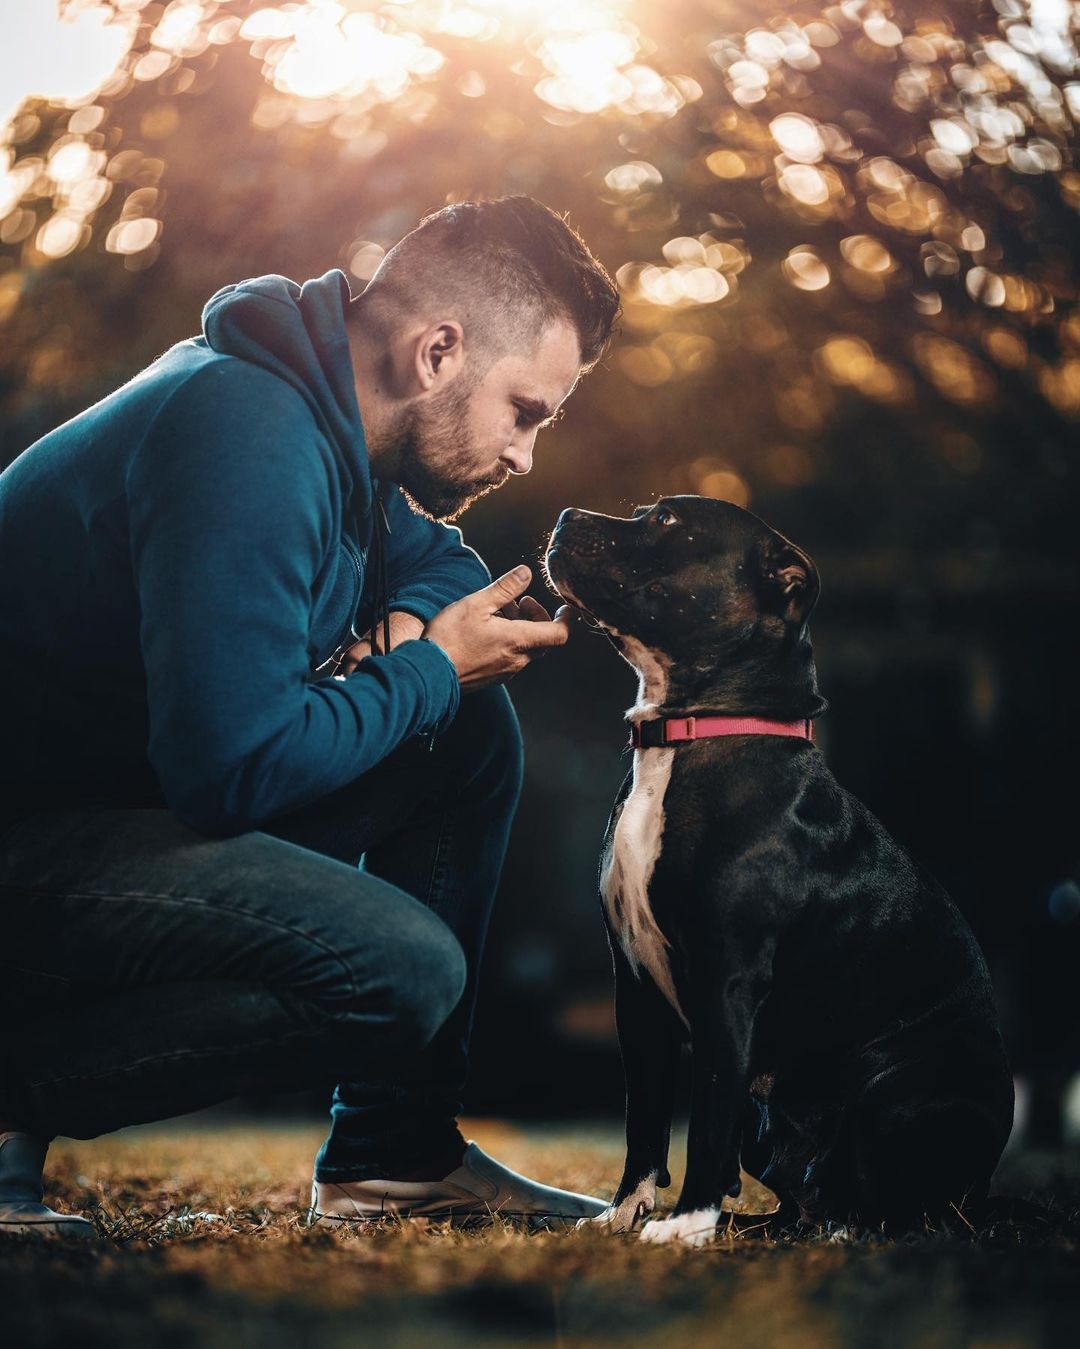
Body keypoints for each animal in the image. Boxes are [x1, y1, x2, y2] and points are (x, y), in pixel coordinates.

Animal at [547, 496, 1013, 1241]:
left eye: (669, 522)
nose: (566, 514)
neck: (693, 734)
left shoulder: (726, 984)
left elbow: (706, 1118)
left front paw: (686, 1224)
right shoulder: (636, 992)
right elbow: (644, 1119)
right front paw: (622, 1215)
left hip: (898, 1093)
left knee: (896, 1204)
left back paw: (842, 1230)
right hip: (771, 1129)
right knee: (811, 1192)